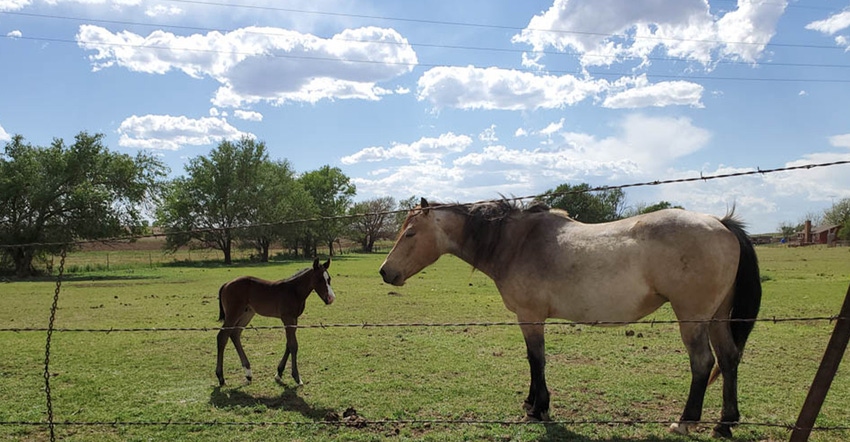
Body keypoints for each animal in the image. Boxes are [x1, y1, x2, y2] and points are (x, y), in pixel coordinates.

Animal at [215, 258, 334, 386]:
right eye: (319, 279)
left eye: (329, 279)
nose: (331, 298)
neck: (294, 291)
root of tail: (226, 284)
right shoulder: (287, 318)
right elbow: (293, 345)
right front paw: (297, 377)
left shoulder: (294, 319)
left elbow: (289, 344)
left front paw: (279, 374)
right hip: (233, 314)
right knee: (222, 336)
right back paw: (221, 377)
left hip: (247, 314)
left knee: (235, 334)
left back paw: (248, 374)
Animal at [378, 199, 760, 436]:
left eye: (410, 233)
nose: (385, 272)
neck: (516, 242)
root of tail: (721, 224)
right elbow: (534, 360)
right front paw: (531, 403)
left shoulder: (530, 317)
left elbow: (536, 360)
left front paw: (538, 408)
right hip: (717, 318)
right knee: (728, 359)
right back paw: (724, 424)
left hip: (692, 318)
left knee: (703, 363)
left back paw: (685, 422)